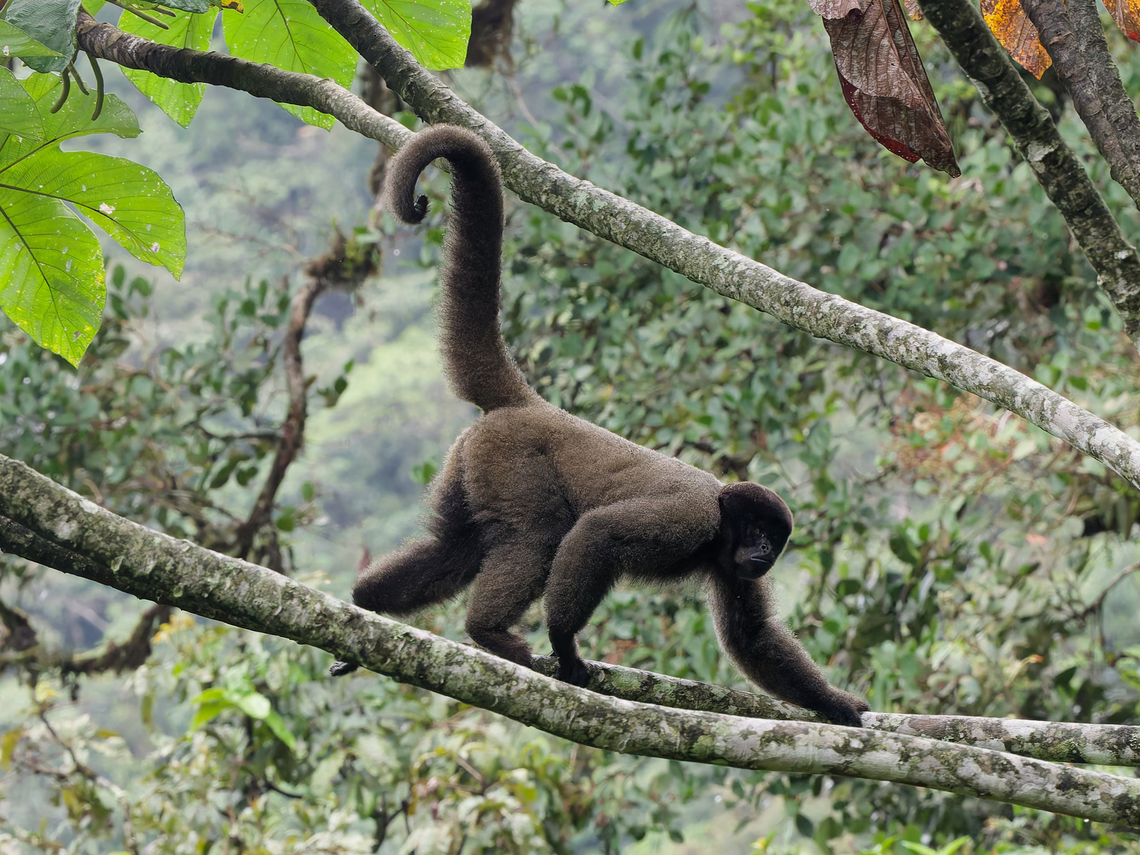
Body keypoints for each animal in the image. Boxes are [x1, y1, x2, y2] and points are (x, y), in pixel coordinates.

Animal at [338, 125, 869, 727]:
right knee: (539, 534)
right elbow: (596, 534)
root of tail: (535, 406)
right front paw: (565, 645)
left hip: (470, 462)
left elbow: (752, 639)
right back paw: (488, 631)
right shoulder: (690, 519)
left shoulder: (733, 565)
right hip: (513, 458)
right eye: (757, 532)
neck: (720, 522)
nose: (762, 551)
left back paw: (367, 603)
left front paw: (839, 706)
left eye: (773, 541)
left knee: (454, 548)